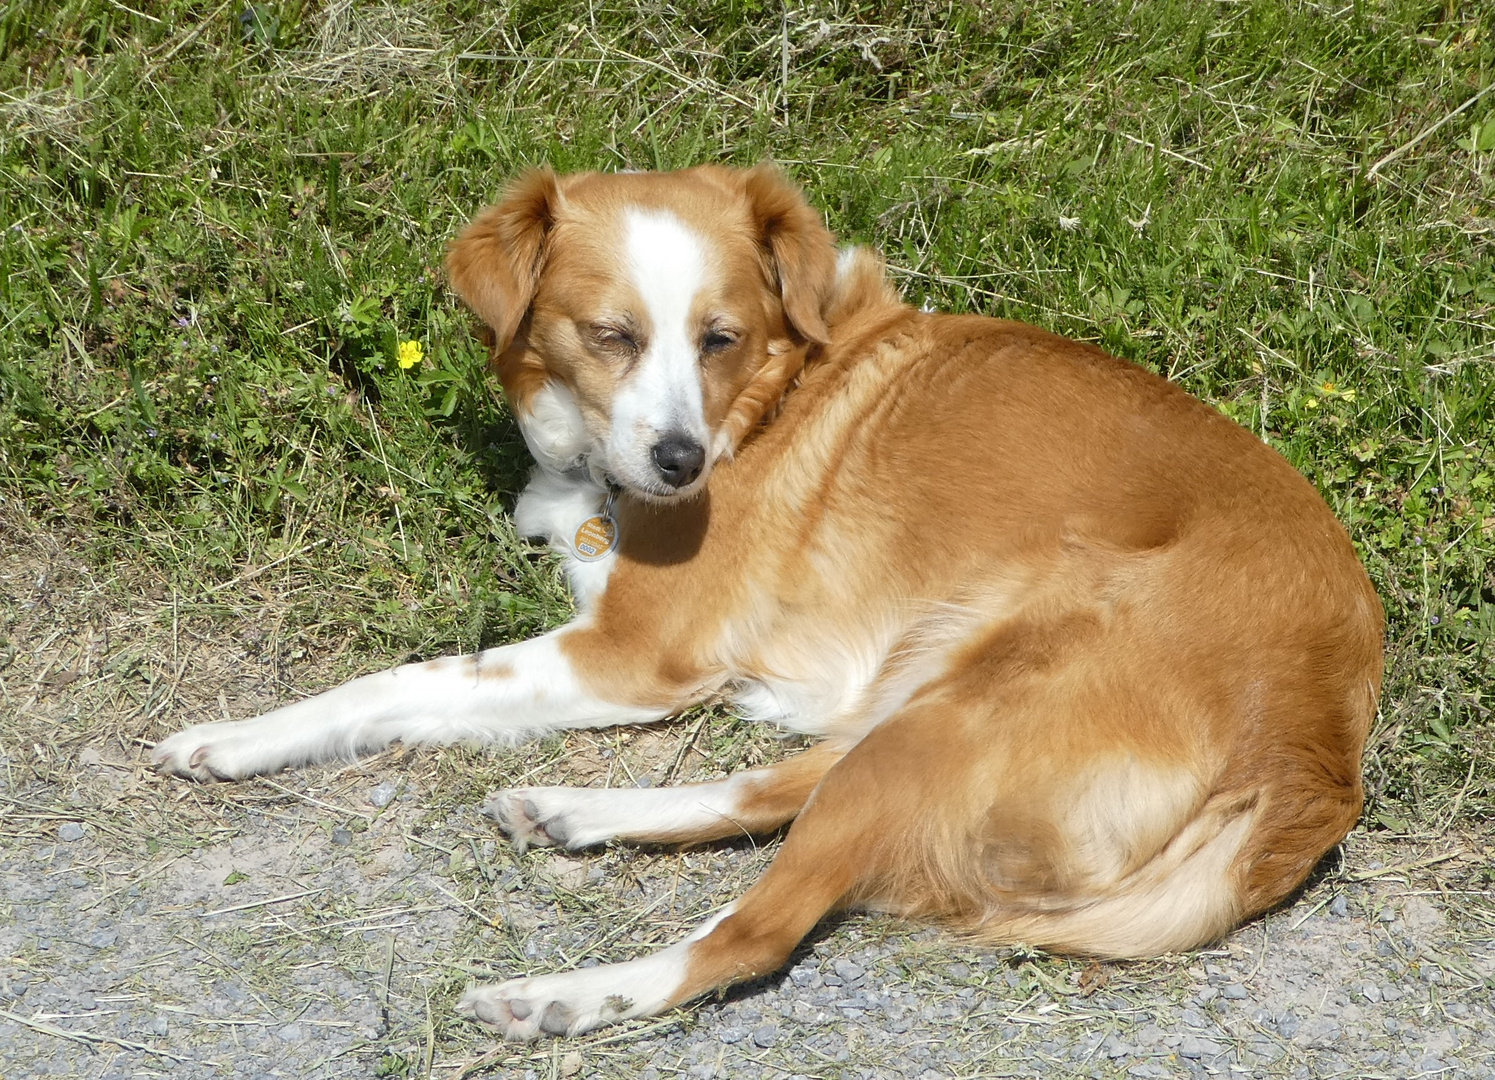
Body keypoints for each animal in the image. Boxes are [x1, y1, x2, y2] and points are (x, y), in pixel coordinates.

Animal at [148, 160, 1375, 1035]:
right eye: (612, 335)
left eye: (719, 337)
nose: (682, 463)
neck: (773, 393)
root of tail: (1310, 754)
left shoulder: (629, 654)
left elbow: (393, 679)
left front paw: (237, 735)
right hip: (936, 692)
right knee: (783, 785)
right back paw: (575, 811)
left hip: (969, 706)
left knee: (756, 930)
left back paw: (561, 996)